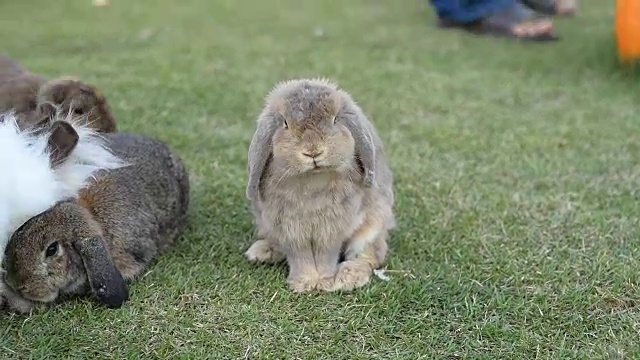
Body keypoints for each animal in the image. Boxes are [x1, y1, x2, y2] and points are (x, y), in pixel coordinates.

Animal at [245, 78, 396, 292]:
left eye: (335, 120)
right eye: (285, 123)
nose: (313, 151)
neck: (312, 179)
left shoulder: (331, 228)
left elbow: (326, 255)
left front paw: (325, 281)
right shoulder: (289, 228)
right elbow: (300, 256)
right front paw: (303, 283)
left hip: (372, 228)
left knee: (370, 256)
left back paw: (348, 277)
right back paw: (262, 252)